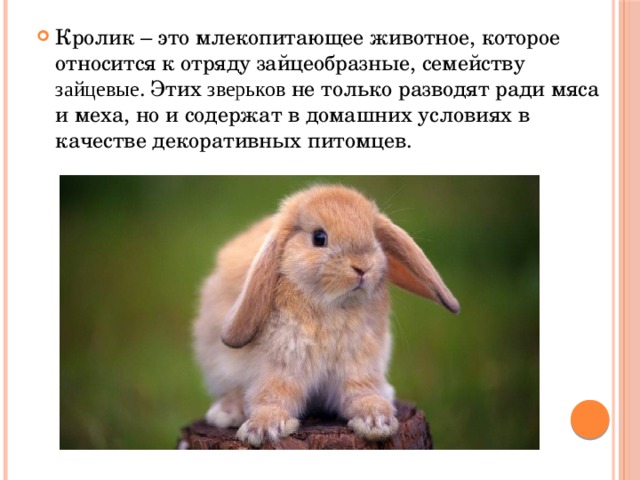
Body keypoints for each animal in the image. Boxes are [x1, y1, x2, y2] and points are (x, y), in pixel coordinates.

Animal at [193, 184, 459, 447]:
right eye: (319, 238)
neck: (333, 305)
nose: (363, 267)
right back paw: (226, 413)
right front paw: (262, 429)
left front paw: (377, 421)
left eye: (373, 235)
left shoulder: (358, 365)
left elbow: (361, 393)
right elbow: (273, 395)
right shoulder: (281, 365)